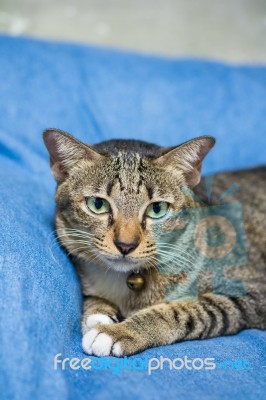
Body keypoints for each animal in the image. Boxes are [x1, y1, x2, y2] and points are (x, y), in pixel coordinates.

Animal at [42, 128, 264, 356]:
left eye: (157, 209)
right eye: (97, 204)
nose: (126, 245)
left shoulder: (250, 291)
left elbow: (183, 311)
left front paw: (118, 332)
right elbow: (93, 299)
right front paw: (98, 314)